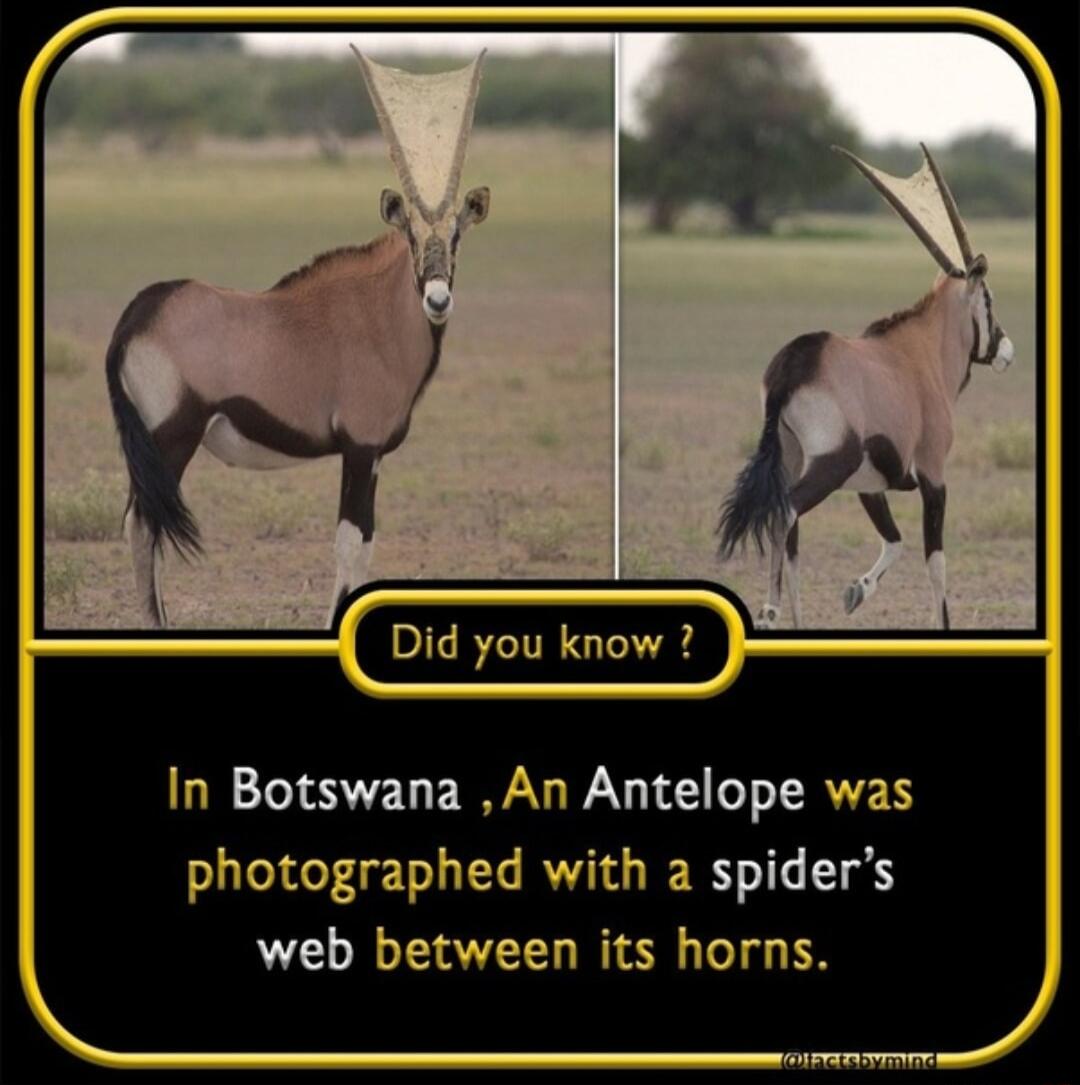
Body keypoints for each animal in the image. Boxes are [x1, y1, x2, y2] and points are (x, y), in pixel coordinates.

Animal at [103, 48, 492, 629]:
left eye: (456, 235)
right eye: (410, 235)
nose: (438, 300)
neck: (379, 314)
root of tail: (138, 314)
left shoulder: (373, 456)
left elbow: (366, 544)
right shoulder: (360, 447)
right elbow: (350, 543)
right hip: (171, 437)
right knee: (143, 524)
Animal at [716, 148, 1011, 633]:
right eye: (988, 298)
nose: (1005, 350)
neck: (922, 349)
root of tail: (794, 364)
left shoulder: (871, 485)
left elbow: (895, 541)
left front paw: (856, 591)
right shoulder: (933, 473)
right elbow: (935, 560)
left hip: (794, 459)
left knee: (788, 526)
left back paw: (788, 618)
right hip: (832, 462)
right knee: (787, 514)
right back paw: (775, 614)